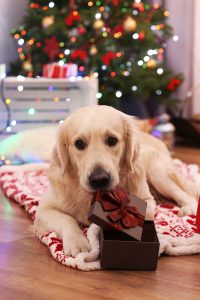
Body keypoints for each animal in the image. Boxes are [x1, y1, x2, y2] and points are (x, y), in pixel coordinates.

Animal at [34, 105, 198, 255]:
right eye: (79, 143)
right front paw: (77, 242)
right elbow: (67, 219)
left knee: (184, 193)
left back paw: (188, 208)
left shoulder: (148, 201)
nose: (99, 179)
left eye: (112, 140)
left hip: (158, 175)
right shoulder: (43, 209)